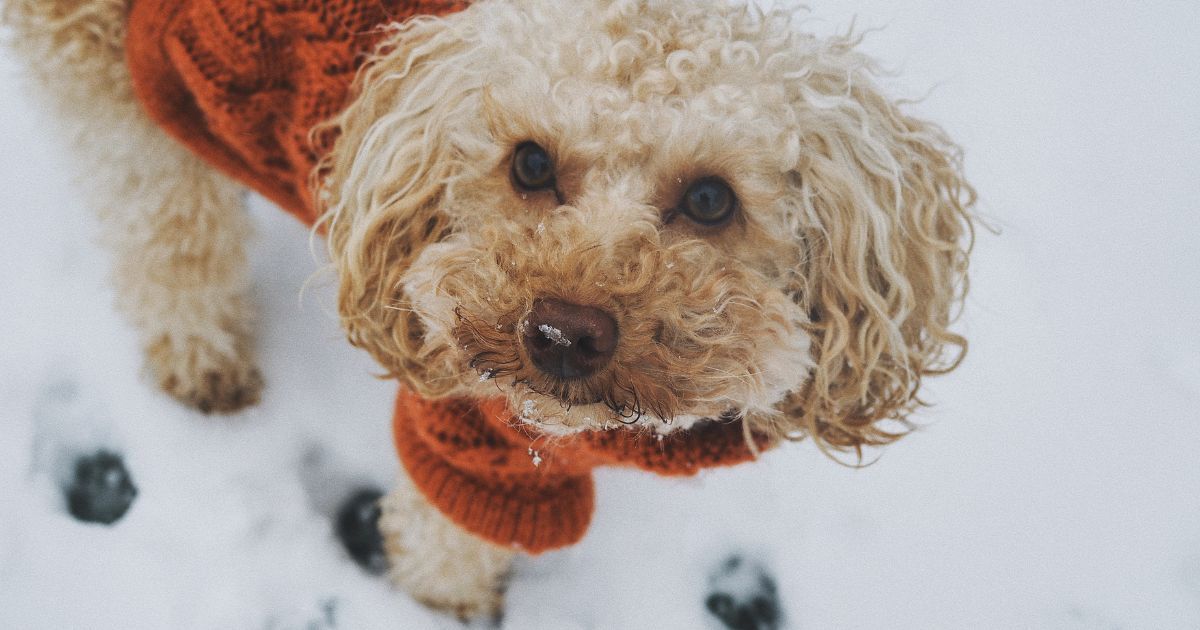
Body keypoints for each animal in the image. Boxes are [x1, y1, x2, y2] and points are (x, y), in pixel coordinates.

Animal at [2, 0, 974, 614]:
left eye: (711, 199)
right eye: (530, 163)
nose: (563, 334)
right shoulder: (473, 437)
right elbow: (447, 546)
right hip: (118, 91)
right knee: (167, 232)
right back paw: (202, 359)